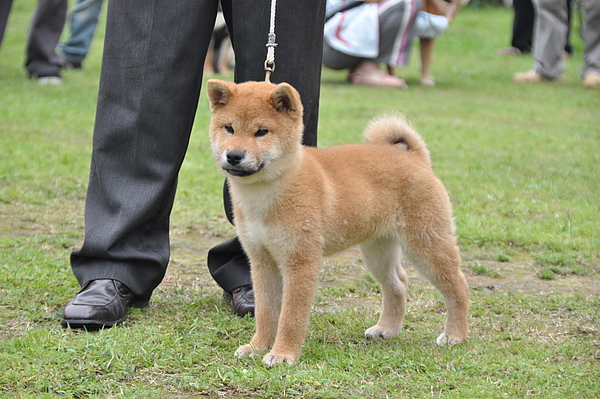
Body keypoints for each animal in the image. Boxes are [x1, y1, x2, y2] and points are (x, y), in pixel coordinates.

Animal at [206, 79, 468, 368]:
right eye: (229, 128)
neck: (268, 191)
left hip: (426, 244)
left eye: (261, 132)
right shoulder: (261, 260)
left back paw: (455, 335)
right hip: (378, 251)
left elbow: (291, 317)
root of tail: (415, 157)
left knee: (458, 284)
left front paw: (283, 353)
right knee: (398, 284)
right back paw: (386, 329)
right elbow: (266, 312)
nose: (234, 155)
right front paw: (257, 346)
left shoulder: (301, 261)